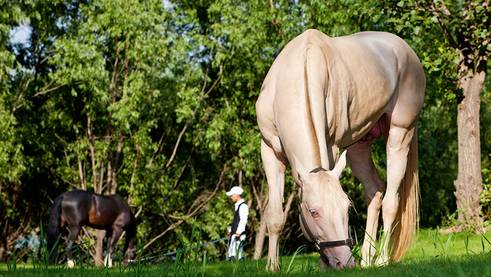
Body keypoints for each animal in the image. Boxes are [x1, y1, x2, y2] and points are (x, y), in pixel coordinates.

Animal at [258, 29, 426, 270]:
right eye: (314, 212)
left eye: (347, 208)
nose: (345, 262)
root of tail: (405, 49)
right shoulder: (269, 150)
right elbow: (274, 217)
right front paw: (272, 267)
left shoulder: (332, 148)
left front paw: (322, 266)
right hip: (358, 146)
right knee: (374, 190)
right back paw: (366, 258)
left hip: (400, 133)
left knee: (390, 201)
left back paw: (381, 259)